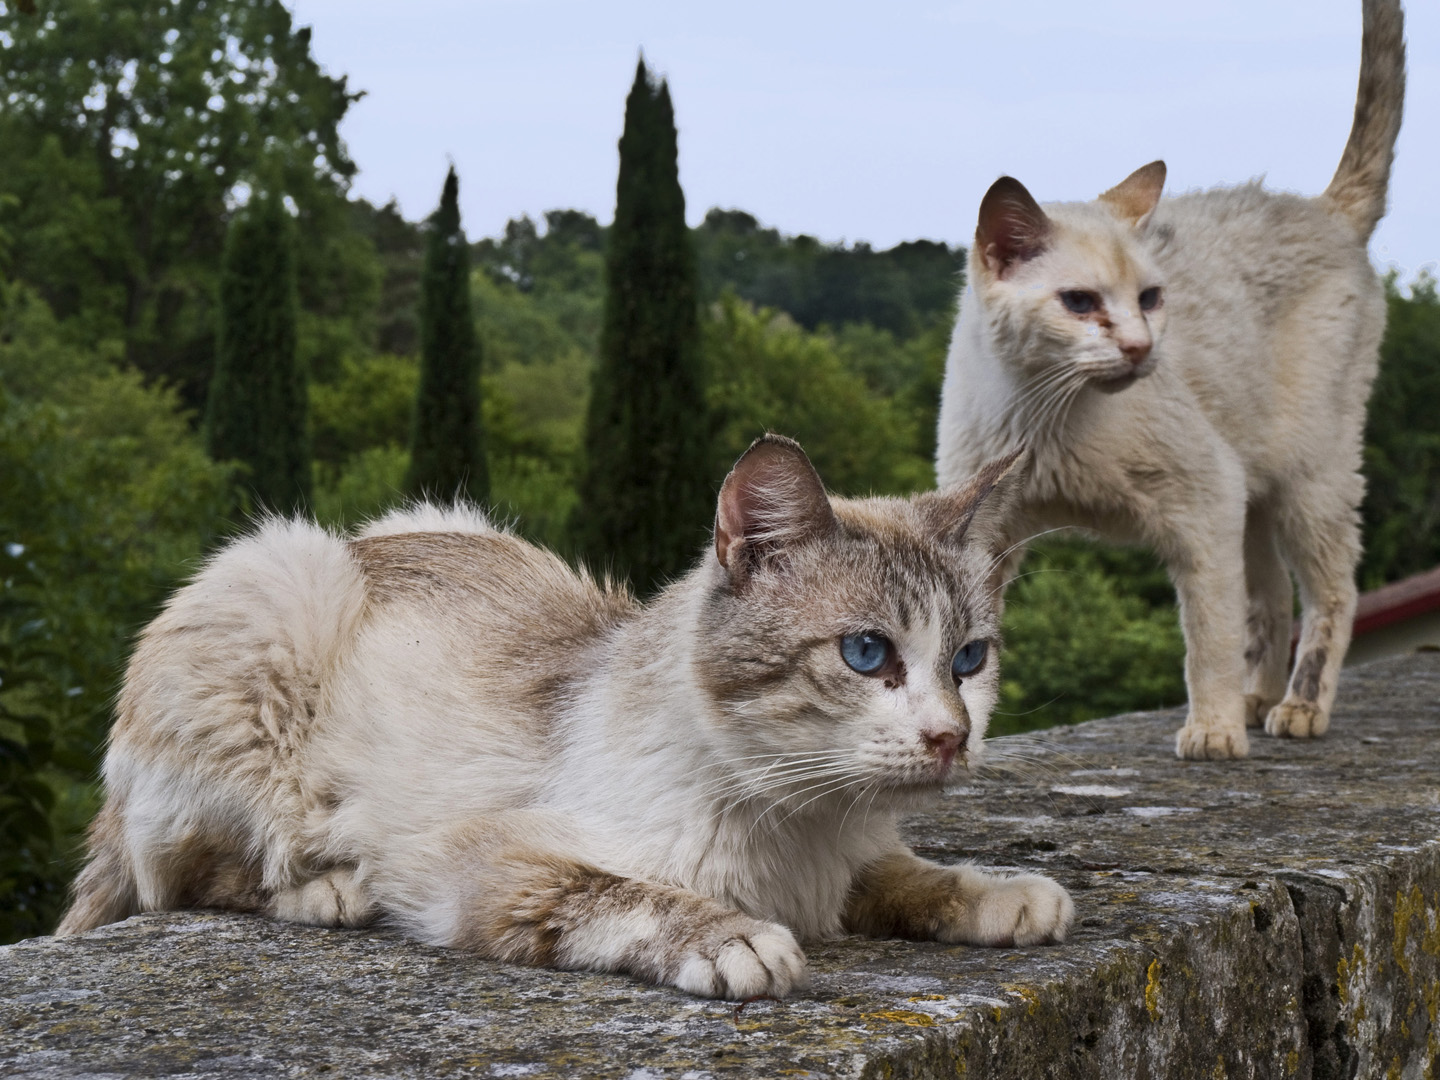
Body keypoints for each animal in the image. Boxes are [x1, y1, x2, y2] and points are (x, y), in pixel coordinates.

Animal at [59, 437, 1071, 996]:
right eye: (866, 653)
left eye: (969, 659)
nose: (952, 737)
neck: (798, 826)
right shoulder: (488, 864)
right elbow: (625, 895)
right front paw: (736, 938)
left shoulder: (849, 861)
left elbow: (908, 876)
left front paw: (1001, 894)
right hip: (282, 580)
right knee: (188, 871)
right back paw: (331, 890)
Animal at [933, 0, 1405, 760]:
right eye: (1080, 303)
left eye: (1151, 298)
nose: (1139, 346)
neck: (1049, 417)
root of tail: (1320, 210)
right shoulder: (987, 538)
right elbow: (967, 657)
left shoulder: (1203, 503)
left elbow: (1207, 638)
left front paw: (1212, 731)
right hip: (1254, 489)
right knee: (1272, 596)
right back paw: (1256, 700)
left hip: (1310, 478)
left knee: (1330, 592)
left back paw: (1296, 708)